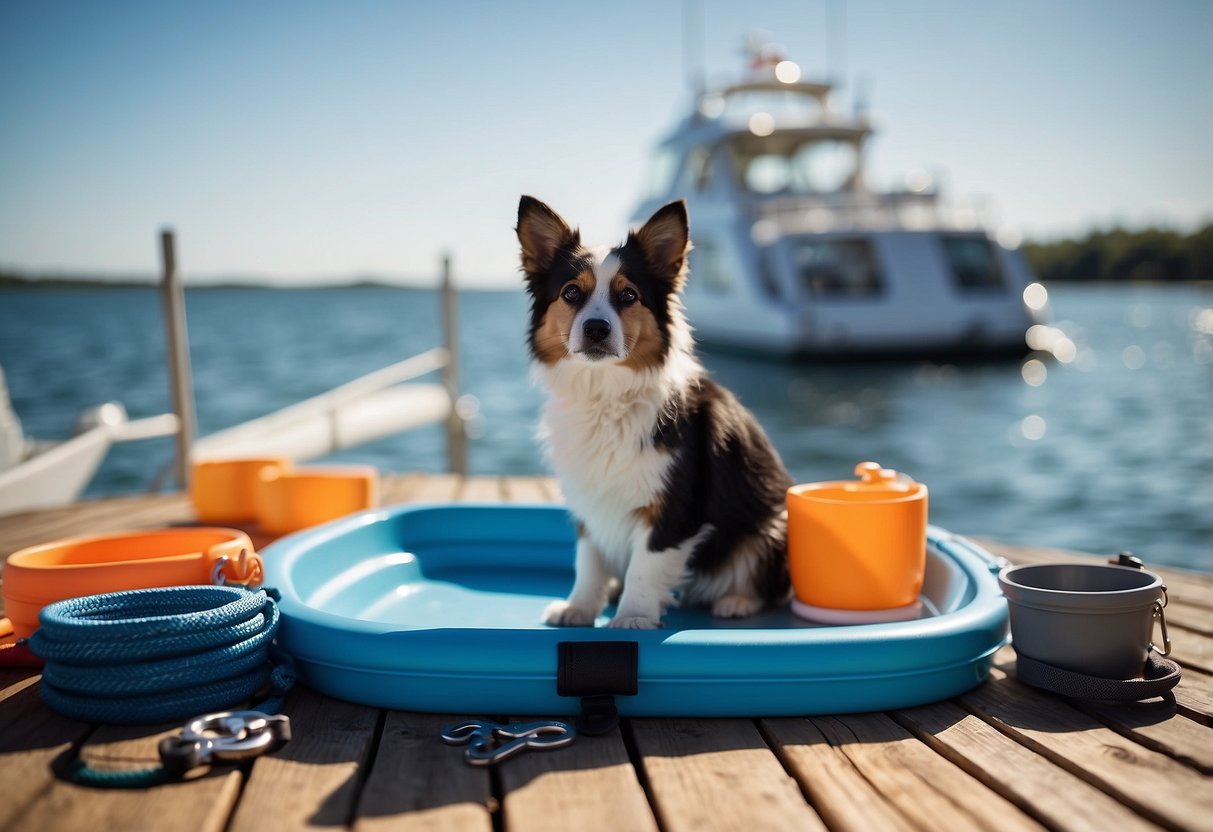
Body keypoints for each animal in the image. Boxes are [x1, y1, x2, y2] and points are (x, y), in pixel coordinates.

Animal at [514, 195, 790, 630]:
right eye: (571, 293)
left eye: (628, 296)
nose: (596, 328)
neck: (605, 394)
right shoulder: (590, 496)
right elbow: (588, 561)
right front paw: (579, 607)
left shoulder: (674, 505)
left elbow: (646, 565)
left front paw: (634, 616)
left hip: (772, 525)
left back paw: (736, 601)